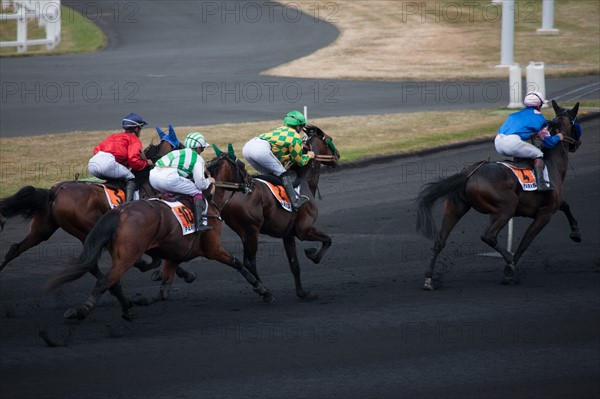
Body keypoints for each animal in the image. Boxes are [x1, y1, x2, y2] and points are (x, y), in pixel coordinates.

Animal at [45, 153, 270, 322]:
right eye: (241, 166)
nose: (251, 183)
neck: (210, 199)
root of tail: (120, 212)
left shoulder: (174, 255)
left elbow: (164, 292)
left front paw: (142, 299)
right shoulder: (212, 248)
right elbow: (237, 263)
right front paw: (261, 289)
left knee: (108, 277)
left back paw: (127, 306)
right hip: (126, 253)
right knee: (106, 280)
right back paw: (82, 310)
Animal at [418, 101, 580, 290]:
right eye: (576, 124)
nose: (577, 143)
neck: (552, 163)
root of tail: (469, 173)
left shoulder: (544, 206)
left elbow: (565, 205)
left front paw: (576, 233)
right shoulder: (544, 213)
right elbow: (525, 242)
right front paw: (509, 272)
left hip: (455, 208)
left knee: (440, 241)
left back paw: (429, 279)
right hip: (506, 208)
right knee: (488, 236)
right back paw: (510, 261)